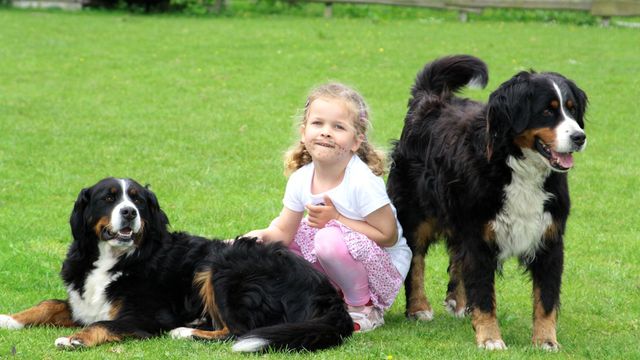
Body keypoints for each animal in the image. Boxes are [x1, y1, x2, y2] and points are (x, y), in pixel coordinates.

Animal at [0, 177, 352, 352]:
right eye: (109, 197)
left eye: (138, 200)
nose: (129, 212)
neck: (118, 258)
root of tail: (327, 292)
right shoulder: (82, 302)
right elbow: (49, 304)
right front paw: (9, 319)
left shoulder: (143, 316)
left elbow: (103, 324)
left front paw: (75, 339)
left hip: (222, 265)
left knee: (238, 332)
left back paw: (186, 331)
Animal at [388, 54, 588, 350]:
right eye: (547, 111)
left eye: (572, 111)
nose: (579, 137)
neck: (519, 168)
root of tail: (431, 99)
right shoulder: (479, 236)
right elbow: (483, 294)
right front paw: (490, 338)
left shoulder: (549, 238)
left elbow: (547, 298)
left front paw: (546, 340)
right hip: (416, 215)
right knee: (416, 261)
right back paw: (418, 308)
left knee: (457, 257)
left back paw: (458, 303)